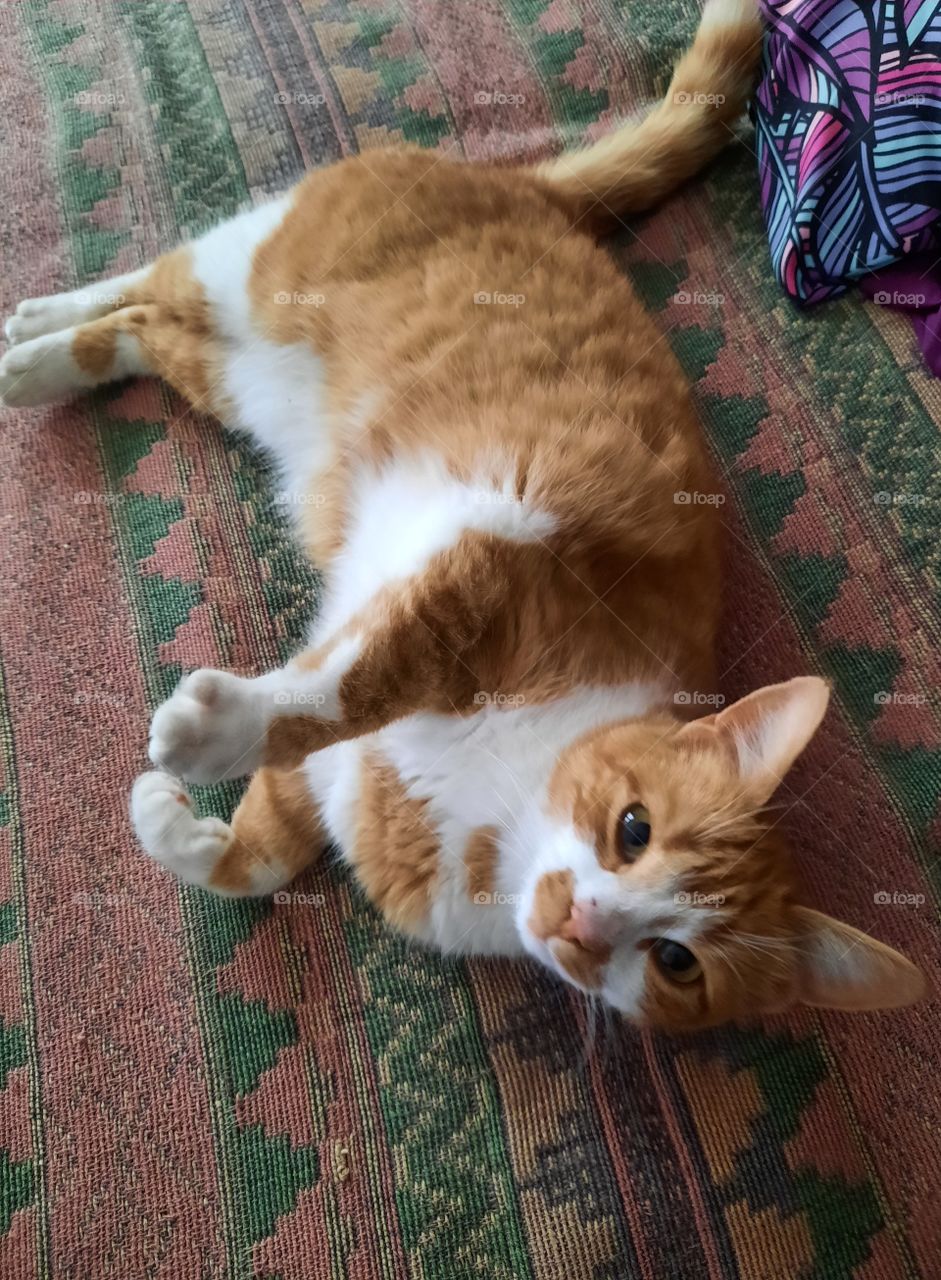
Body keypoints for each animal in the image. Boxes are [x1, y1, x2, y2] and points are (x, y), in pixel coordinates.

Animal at [0, 0, 921, 1029]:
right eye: (632, 829)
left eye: (677, 961)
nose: (581, 923)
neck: (491, 819)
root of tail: (529, 189)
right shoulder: (491, 568)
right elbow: (347, 684)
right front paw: (213, 733)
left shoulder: (331, 782)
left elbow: (258, 855)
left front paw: (178, 825)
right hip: (251, 274)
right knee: (147, 282)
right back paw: (30, 330)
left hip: (233, 374)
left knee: (140, 331)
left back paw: (35, 353)